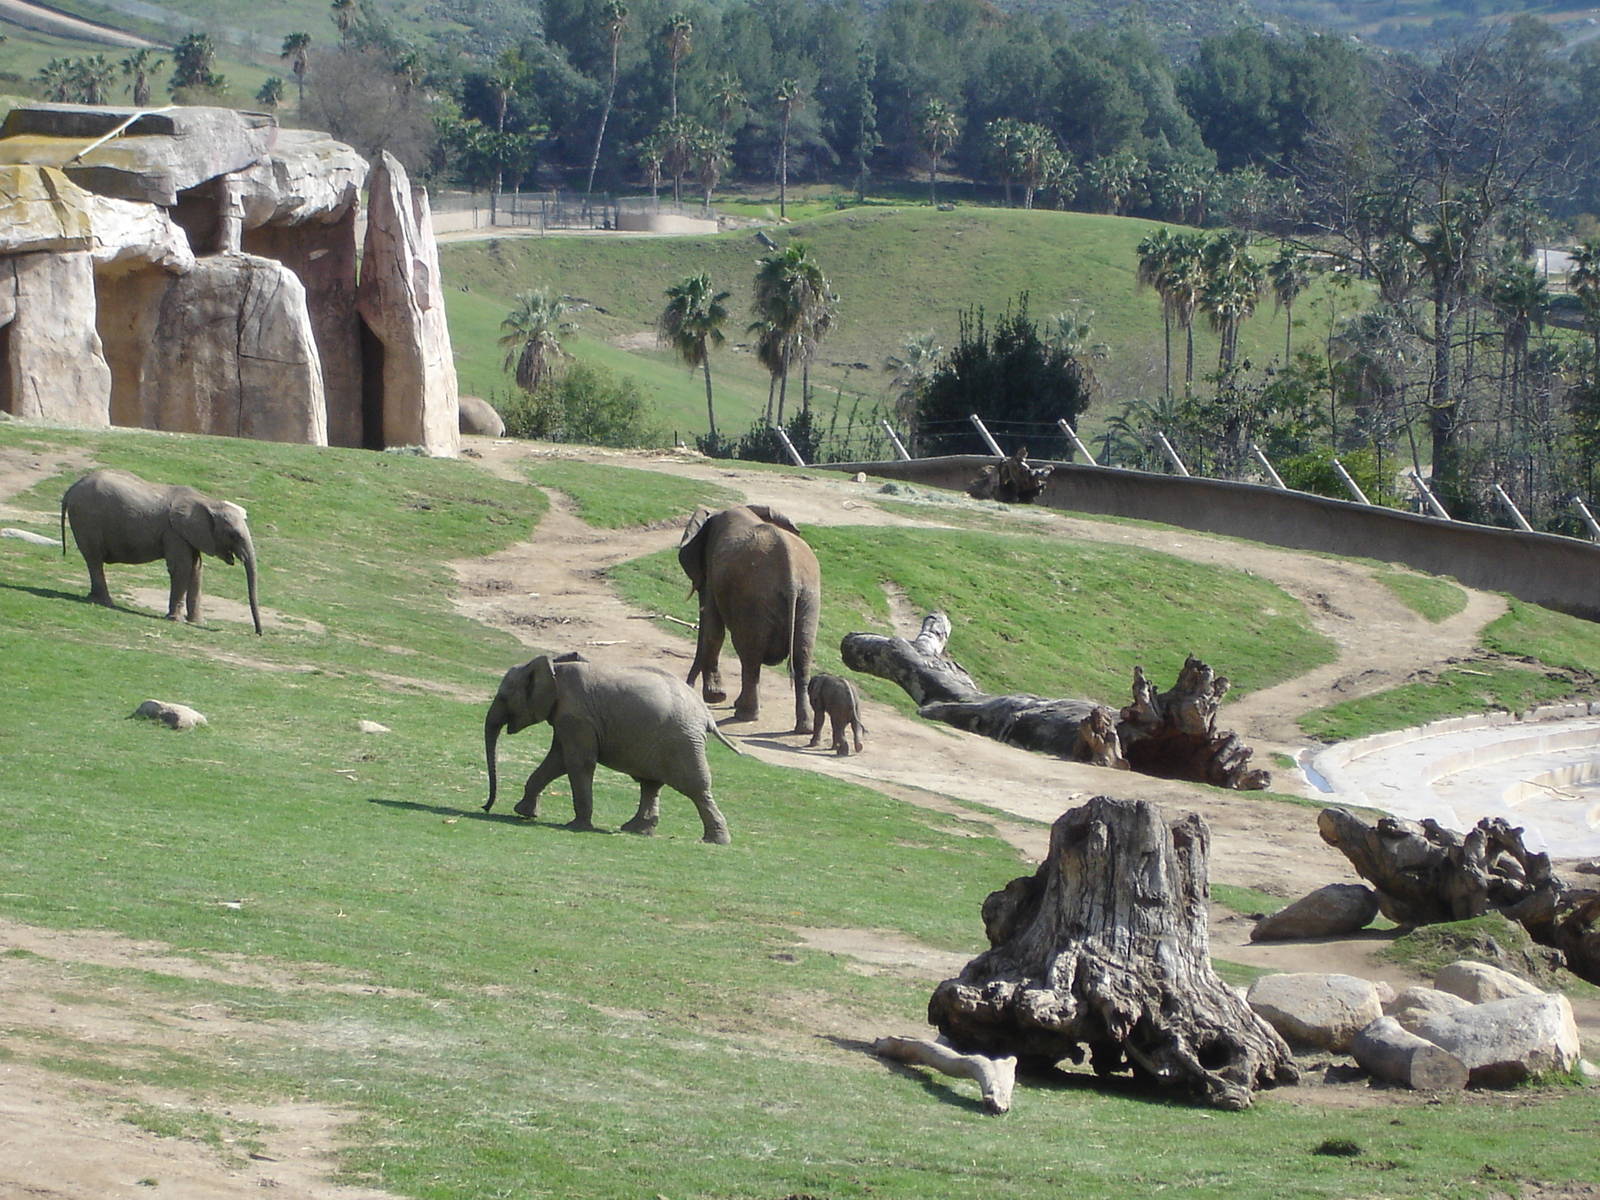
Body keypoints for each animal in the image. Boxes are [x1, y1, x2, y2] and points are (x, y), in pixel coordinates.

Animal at [61, 469, 262, 635]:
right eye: (233, 535)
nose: (258, 633)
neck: (207, 501)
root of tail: (70, 489)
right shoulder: (173, 532)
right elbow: (181, 568)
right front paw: (175, 621)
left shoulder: (189, 534)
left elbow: (196, 570)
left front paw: (197, 623)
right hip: (87, 519)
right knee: (94, 558)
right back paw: (104, 603)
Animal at [482, 653, 739, 844]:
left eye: (503, 697)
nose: (485, 807)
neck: (555, 668)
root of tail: (707, 715)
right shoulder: (568, 718)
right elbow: (558, 760)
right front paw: (524, 813)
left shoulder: (577, 717)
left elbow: (577, 762)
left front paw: (576, 826)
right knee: (650, 784)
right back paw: (635, 829)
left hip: (682, 741)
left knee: (695, 788)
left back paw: (715, 841)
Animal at [679, 504, 821, 732]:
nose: (688, 686)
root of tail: (791, 577)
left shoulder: (713, 569)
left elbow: (713, 629)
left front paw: (715, 697)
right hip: (808, 599)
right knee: (802, 657)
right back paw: (804, 728)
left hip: (753, 597)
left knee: (749, 654)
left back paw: (744, 714)